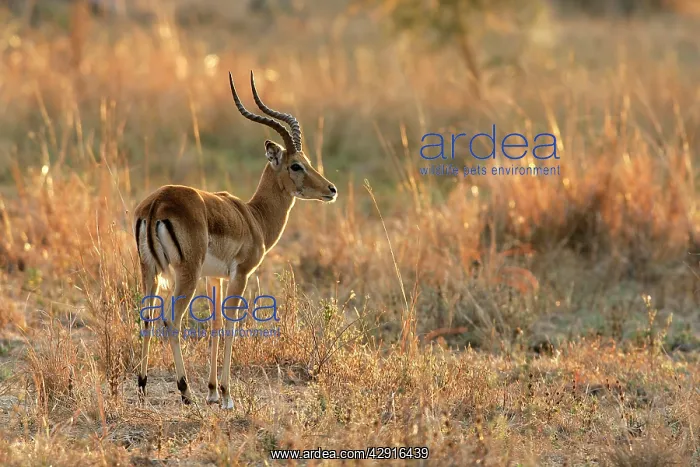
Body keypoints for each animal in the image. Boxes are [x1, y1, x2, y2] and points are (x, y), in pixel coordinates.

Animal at [133, 71, 337, 408]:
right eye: (296, 165)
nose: (331, 189)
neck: (255, 217)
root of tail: (157, 202)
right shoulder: (241, 274)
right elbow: (230, 323)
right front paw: (227, 396)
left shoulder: (213, 277)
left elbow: (215, 324)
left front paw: (213, 392)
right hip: (185, 274)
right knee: (171, 322)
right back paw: (185, 392)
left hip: (150, 271)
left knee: (146, 318)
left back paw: (141, 387)